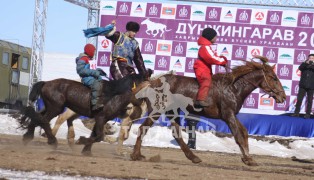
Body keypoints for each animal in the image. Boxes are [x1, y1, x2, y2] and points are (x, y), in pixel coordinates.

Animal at [19, 73, 147, 155]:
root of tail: (46, 82)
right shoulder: (101, 118)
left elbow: (95, 134)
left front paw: (86, 150)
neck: (115, 95)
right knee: (44, 120)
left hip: (51, 107)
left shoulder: (101, 119)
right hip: (55, 108)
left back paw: (28, 137)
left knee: (37, 116)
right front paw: (81, 141)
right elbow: (99, 136)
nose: (138, 109)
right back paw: (52, 141)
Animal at [129, 56, 286, 166]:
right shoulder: (228, 115)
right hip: (157, 111)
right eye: (273, 78)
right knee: (143, 128)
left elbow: (244, 132)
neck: (234, 88)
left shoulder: (232, 115)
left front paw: (247, 157)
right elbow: (238, 136)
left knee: (176, 134)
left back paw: (194, 157)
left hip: (172, 112)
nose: (283, 97)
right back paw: (136, 155)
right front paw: (248, 159)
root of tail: (153, 82)